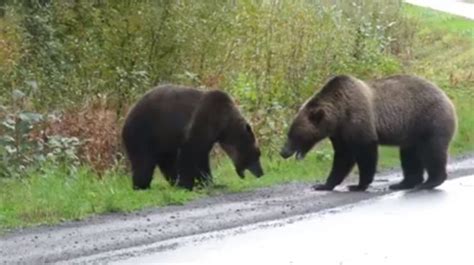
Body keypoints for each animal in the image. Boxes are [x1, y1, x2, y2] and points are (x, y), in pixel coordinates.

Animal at [121, 84, 262, 190]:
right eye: (257, 153)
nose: (261, 173)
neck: (224, 125)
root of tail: (127, 116)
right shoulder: (203, 120)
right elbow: (191, 153)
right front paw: (189, 184)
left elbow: (201, 157)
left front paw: (207, 182)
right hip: (144, 132)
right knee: (144, 162)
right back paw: (141, 185)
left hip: (163, 140)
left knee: (167, 161)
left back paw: (173, 181)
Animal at [280, 73, 458, 190]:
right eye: (289, 133)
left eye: (295, 135)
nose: (283, 152)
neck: (339, 114)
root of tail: (448, 99)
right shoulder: (340, 133)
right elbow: (343, 157)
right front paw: (323, 184)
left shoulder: (358, 121)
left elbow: (365, 152)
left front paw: (358, 185)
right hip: (412, 132)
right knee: (409, 155)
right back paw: (403, 183)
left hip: (429, 120)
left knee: (432, 151)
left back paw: (431, 181)